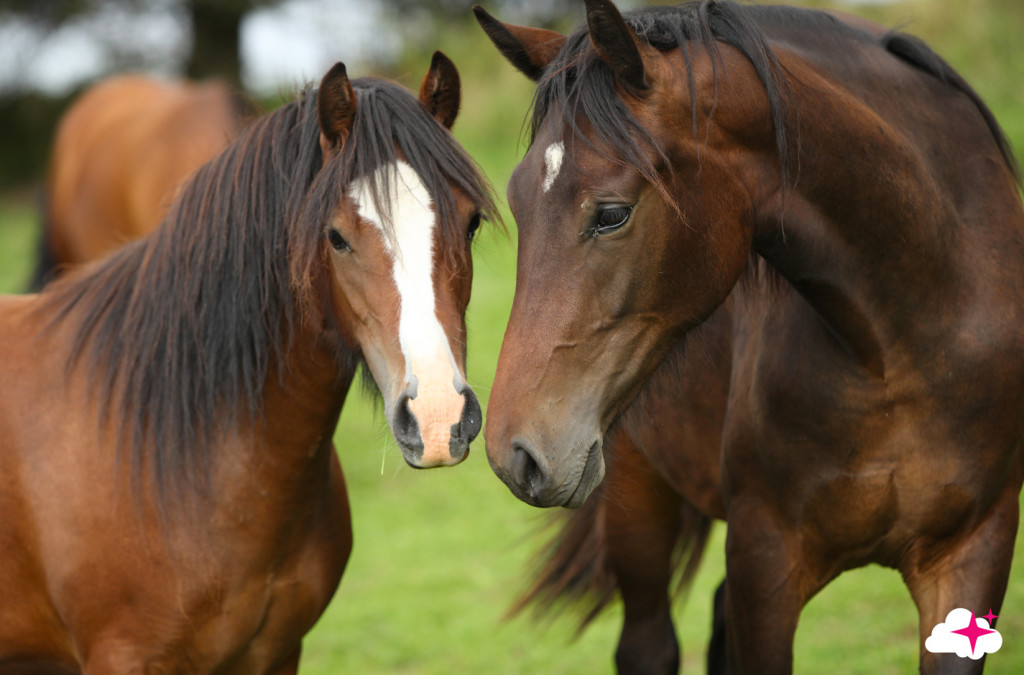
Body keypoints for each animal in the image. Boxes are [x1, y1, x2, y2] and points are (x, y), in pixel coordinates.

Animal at [477, 0, 1024, 671]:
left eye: (611, 214)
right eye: (516, 202)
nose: (513, 454)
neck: (902, 347)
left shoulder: (973, 554)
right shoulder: (765, 561)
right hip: (636, 494)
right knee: (648, 645)